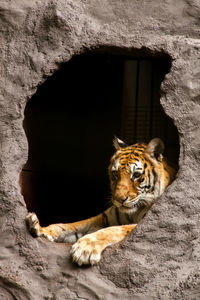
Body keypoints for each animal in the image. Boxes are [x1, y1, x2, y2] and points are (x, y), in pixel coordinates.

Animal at [25, 137, 177, 266]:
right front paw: (40, 228)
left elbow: (114, 230)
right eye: (115, 174)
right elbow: (69, 226)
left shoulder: (146, 224)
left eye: (136, 175)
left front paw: (84, 248)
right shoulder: (103, 218)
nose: (119, 199)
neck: (133, 211)